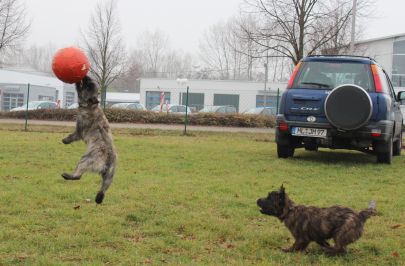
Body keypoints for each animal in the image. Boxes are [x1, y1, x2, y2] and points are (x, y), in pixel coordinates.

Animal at [60, 76, 116, 205]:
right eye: (90, 83)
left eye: (88, 86)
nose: (85, 76)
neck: (91, 106)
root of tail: (107, 162)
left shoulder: (79, 131)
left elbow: (72, 136)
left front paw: (65, 140)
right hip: (109, 177)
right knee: (103, 189)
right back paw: (98, 198)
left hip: (84, 160)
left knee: (78, 176)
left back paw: (67, 175)